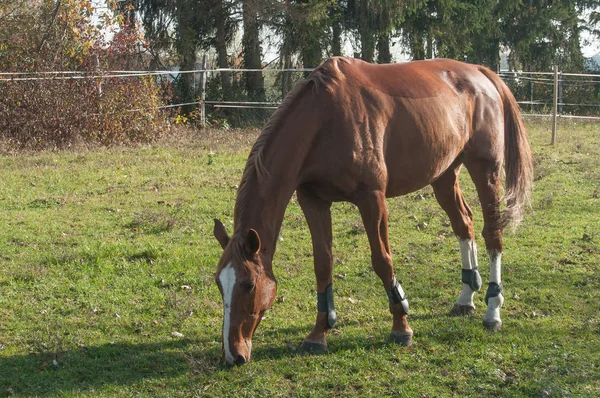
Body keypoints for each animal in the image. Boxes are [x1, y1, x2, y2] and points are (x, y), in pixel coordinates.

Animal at [213, 57, 532, 366]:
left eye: (248, 284)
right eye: (219, 283)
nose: (232, 355)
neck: (323, 119)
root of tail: (479, 72)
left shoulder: (372, 199)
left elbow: (382, 261)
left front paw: (401, 326)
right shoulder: (313, 201)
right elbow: (323, 264)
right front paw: (318, 333)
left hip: (485, 170)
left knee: (492, 234)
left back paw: (493, 311)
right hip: (444, 175)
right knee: (463, 223)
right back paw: (466, 297)